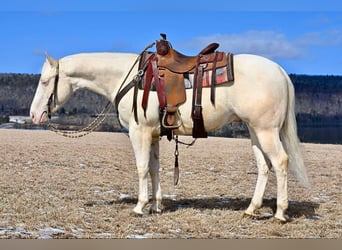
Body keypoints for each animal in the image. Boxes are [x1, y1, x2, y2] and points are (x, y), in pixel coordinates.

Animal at [29, 50, 310, 221]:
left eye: (44, 81)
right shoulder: (152, 134)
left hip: (266, 131)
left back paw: (280, 213)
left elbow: (142, 168)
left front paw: (140, 206)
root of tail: (279, 70)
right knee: (264, 166)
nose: (33, 115)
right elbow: (154, 168)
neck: (130, 78)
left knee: (281, 162)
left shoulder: (139, 132)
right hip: (255, 131)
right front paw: (156, 205)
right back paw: (251, 210)